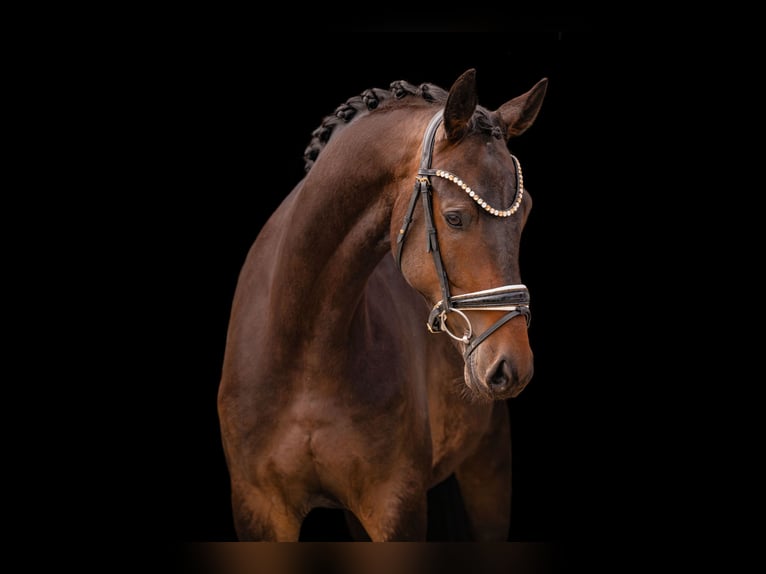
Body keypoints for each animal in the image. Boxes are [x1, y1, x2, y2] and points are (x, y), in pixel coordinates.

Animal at [217, 68, 548, 541]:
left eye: (526, 214)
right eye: (454, 217)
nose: (512, 365)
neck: (304, 351)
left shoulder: (395, 506)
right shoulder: (258, 511)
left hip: (487, 467)